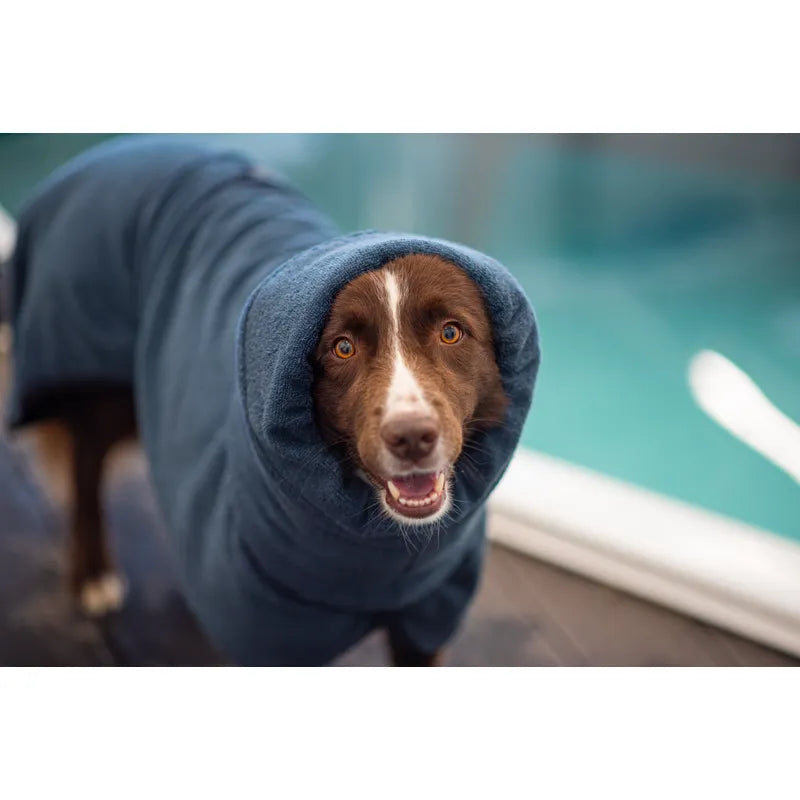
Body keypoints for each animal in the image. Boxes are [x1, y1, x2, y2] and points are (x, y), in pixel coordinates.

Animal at [3, 137, 539, 665]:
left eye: (451, 332)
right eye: (342, 347)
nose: (411, 438)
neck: (378, 552)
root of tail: (108, 152)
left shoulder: (429, 614)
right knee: (85, 468)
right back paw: (92, 576)